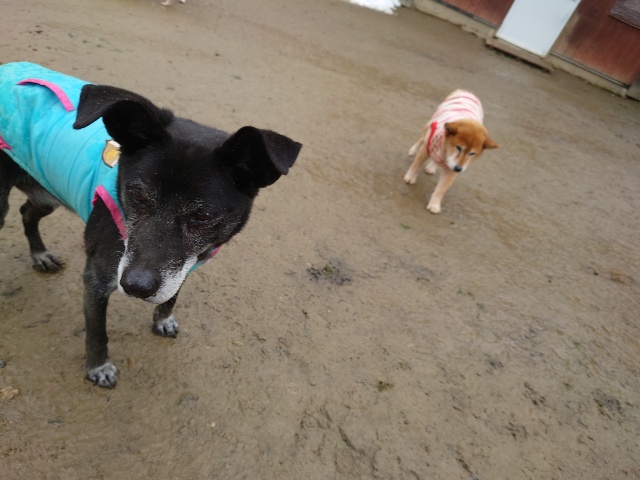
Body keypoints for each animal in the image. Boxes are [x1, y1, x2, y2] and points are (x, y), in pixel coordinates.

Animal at [0, 62, 301, 388]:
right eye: (136, 194)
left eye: (203, 216)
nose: (135, 287)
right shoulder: (97, 280)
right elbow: (97, 332)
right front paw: (98, 366)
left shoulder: (181, 269)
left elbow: (171, 296)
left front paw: (163, 320)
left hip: (46, 193)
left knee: (27, 212)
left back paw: (40, 254)